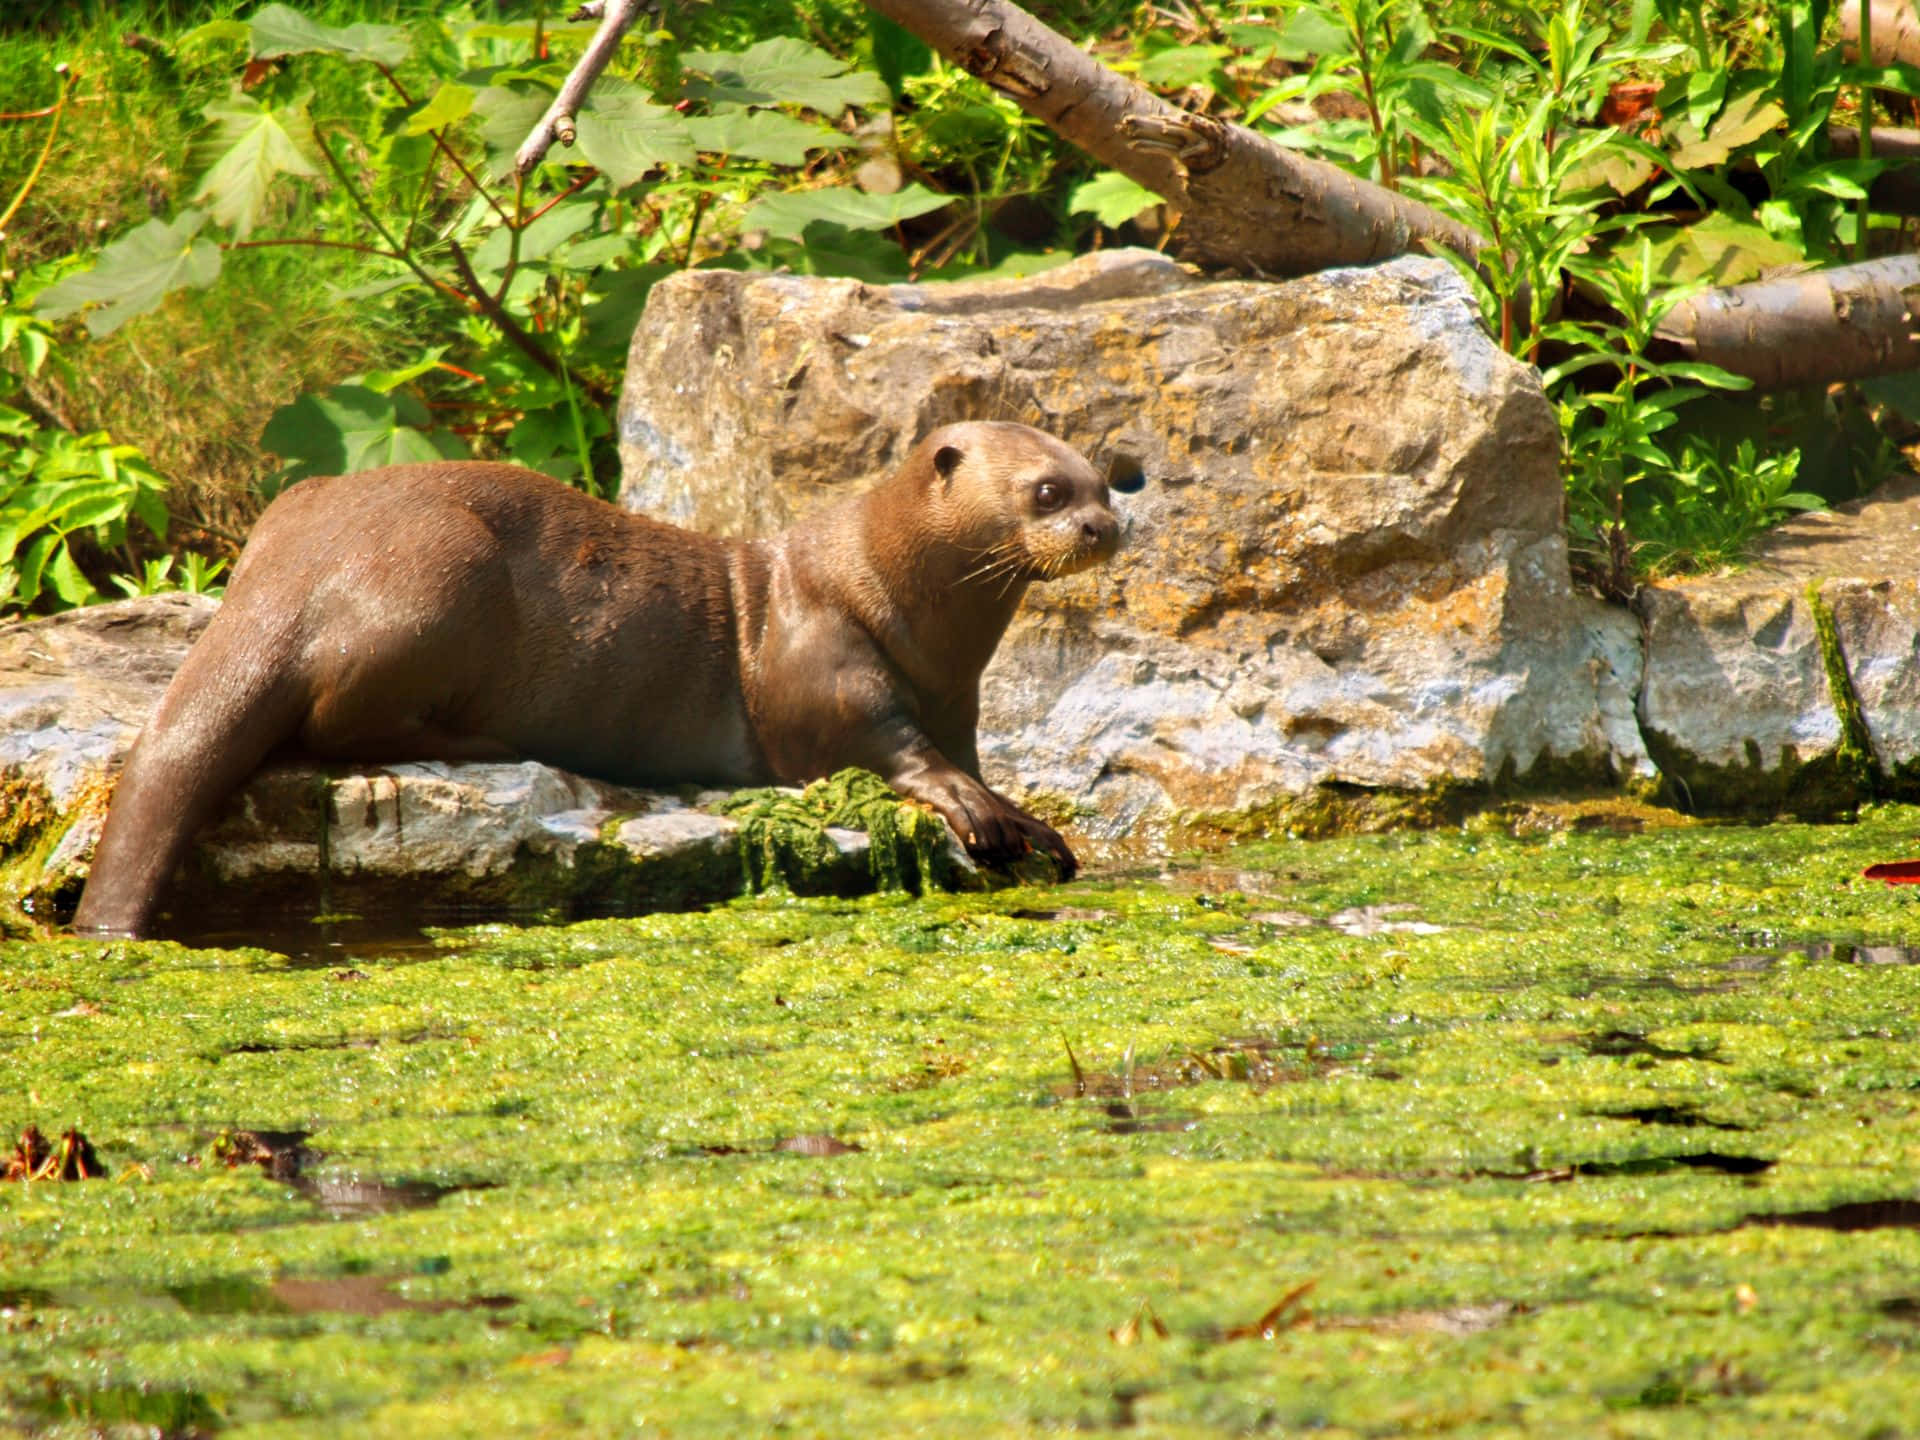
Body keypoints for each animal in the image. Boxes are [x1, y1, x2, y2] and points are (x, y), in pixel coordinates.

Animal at [74, 420, 1121, 936]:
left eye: (1111, 482)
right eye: (1047, 493)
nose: (1107, 527)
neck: (894, 590)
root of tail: (288, 572)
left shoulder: (959, 701)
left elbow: (970, 756)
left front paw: (1026, 817)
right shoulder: (823, 664)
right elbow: (885, 750)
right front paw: (984, 815)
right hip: (440, 577)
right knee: (334, 724)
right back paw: (486, 741)